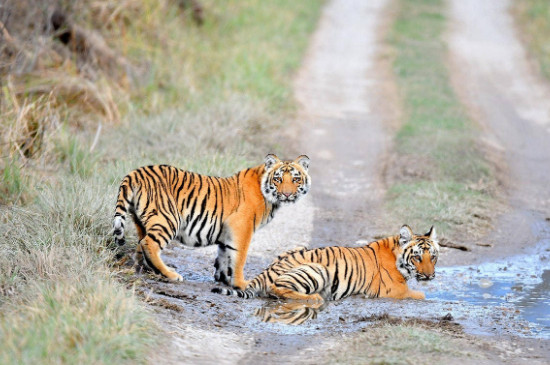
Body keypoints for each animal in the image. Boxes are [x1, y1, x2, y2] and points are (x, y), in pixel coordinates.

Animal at [113, 154, 310, 288]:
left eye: (295, 179)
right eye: (278, 179)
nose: (287, 194)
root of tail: (135, 172)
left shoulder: (228, 231)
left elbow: (225, 254)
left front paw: (223, 278)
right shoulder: (242, 227)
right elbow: (240, 257)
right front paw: (241, 283)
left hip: (141, 221)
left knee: (141, 244)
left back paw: (143, 268)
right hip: (168, 219)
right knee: (149, 244)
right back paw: (170, 274)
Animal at [213, 225, 442, 302]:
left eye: (433, 257)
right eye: (417, 257)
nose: (429, 276)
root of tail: (267, 270)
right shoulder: (394, 290)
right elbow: (420, 295)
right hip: (317, 269)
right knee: (276, 288)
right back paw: (314, 297)